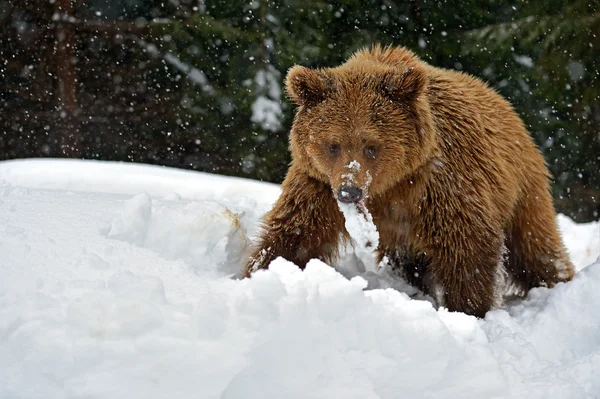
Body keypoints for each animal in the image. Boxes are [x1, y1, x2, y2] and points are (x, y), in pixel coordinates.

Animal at [246, 44, 576, 318]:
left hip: (522, 188)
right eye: (333, 145)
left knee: (534, 247)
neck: (388, 186)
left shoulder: (441, 182)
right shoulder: (318, 184)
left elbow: (468, 243)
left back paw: (558, 282)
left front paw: (468, 309)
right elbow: (296, 232)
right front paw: (262, 272)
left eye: (371, 146)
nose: (349, 191)